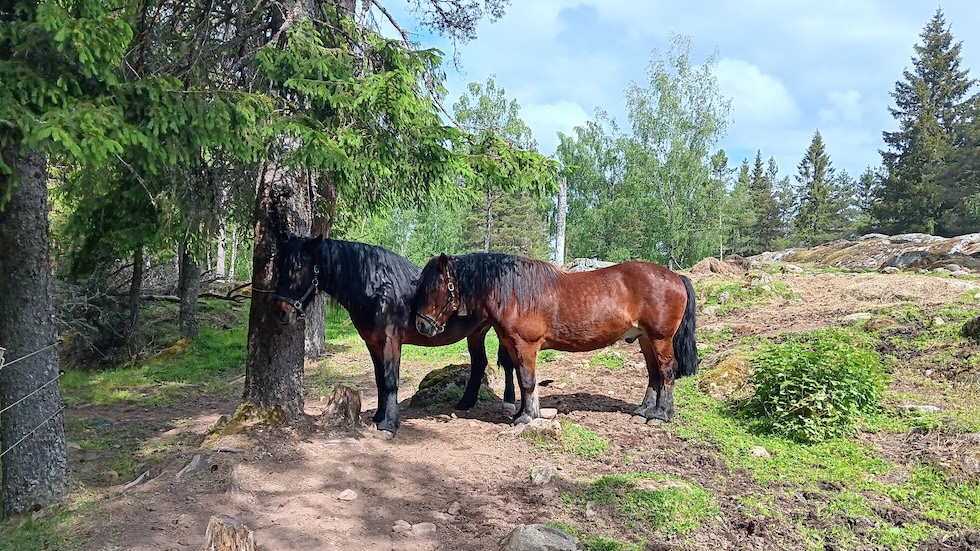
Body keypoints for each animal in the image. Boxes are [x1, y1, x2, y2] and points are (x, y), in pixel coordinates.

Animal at [272, 237, 516, 436]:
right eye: (279, 266)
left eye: (298, 268)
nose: (282, 311)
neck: (377, 290)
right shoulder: (372, 343)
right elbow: (380, 379)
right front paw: (379, 416)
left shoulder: (392, 341)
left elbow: (390, 380)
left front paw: (389, 424)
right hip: (476, 332)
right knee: (480, 363)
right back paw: (465, 403)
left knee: (509, 363)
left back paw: (510, 403)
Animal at [414, 252, 696, 424]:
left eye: (436, 287)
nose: (421, 325)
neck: (513, 292)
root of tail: (675, 276)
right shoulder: (513, 345)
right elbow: (521, 378)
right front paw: (522, 412)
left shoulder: (525, 345)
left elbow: (528, 380)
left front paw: (528, 417)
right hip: (645, 338)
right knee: (654, 373)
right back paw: (643, 410)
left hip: (660, 337)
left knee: (667, 371)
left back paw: (661, 414)